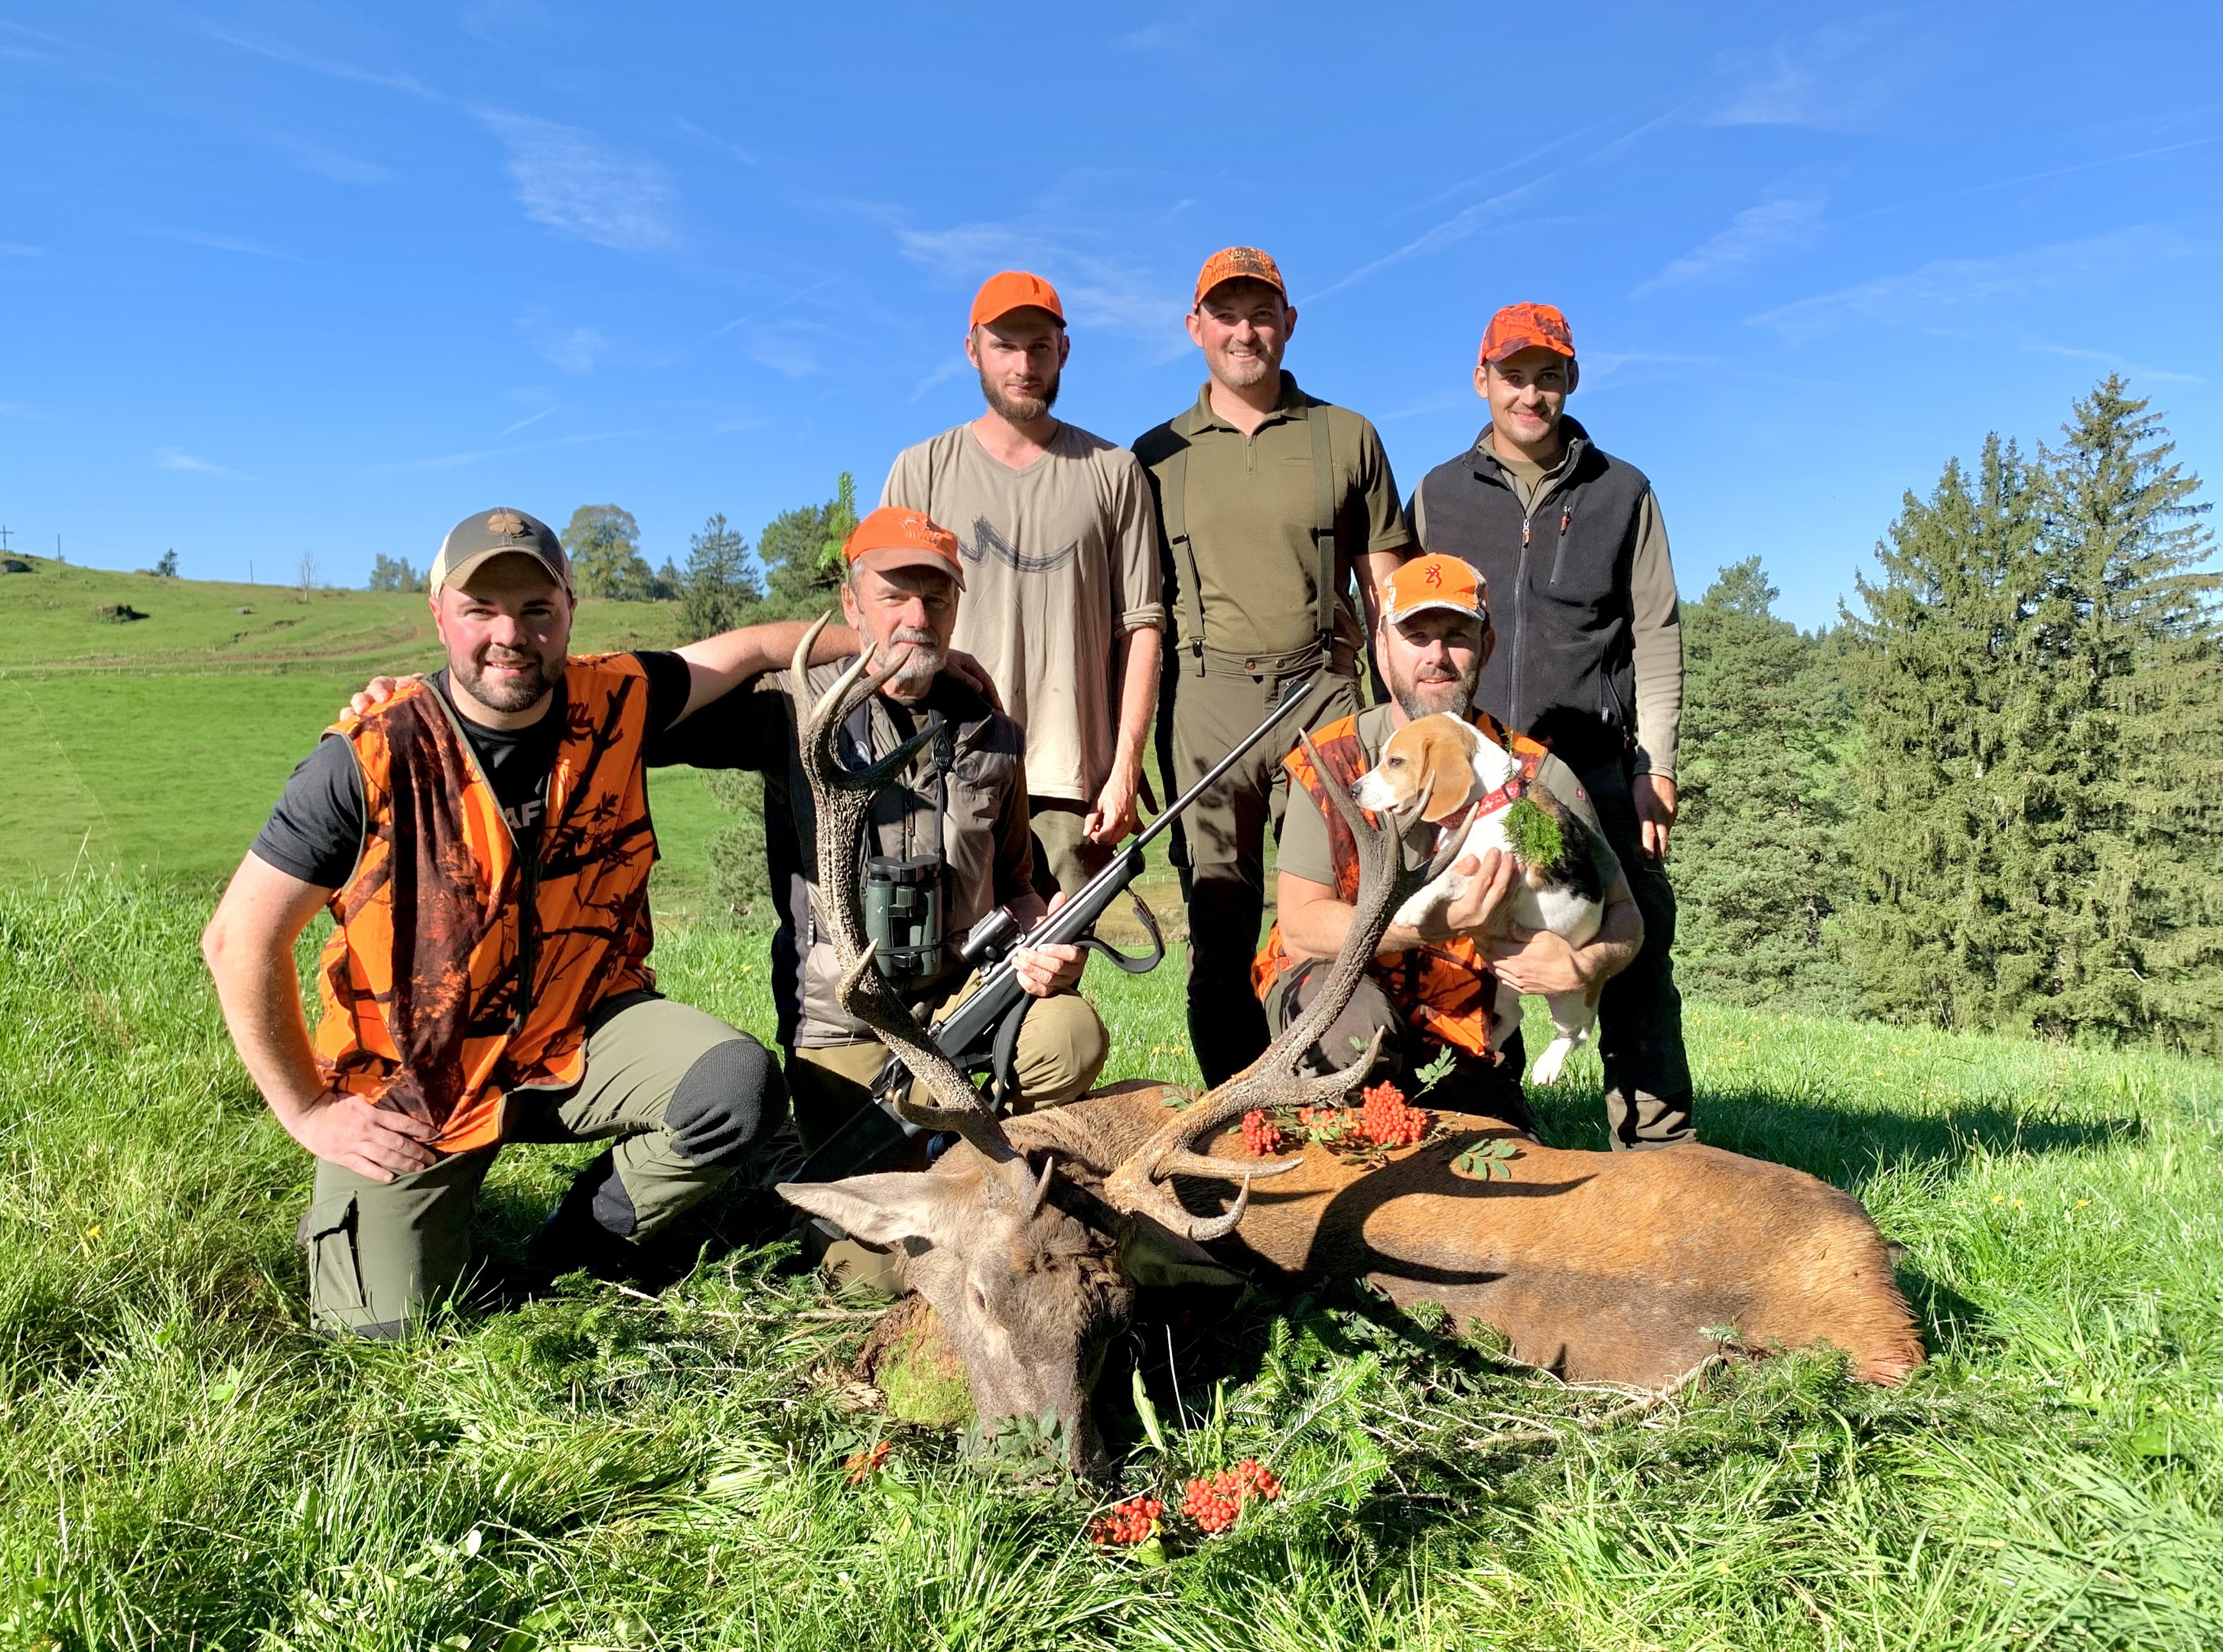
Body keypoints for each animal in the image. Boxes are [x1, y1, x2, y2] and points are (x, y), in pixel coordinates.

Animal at [1351, 713, 1608, 1084]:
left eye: (1396, 762)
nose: (1354, 790)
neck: (1486, 805)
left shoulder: (1494, 866)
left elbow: (1448, 876)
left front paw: (1411, 905)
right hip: (1501, 986)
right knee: (1515, 1015)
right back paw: (1489, 1047)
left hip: (1569, 995)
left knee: (1574, 1033)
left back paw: (1547, 1064)